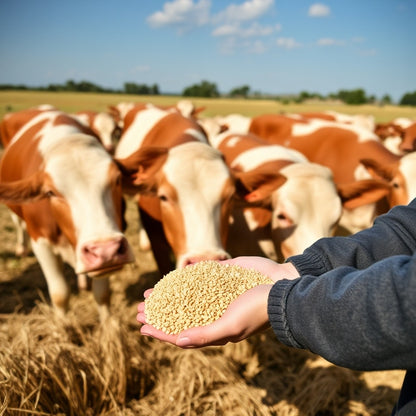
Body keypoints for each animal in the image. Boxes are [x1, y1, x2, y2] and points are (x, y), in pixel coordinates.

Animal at [0, 108, 138, 318]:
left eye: (117, 180)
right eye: (51, 192)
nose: (106, 250)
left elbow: (103, 294)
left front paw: (109, 325)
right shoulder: (41, 244)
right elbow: (60, 295)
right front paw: (64, 325)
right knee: (17, 223)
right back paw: (21, 248)